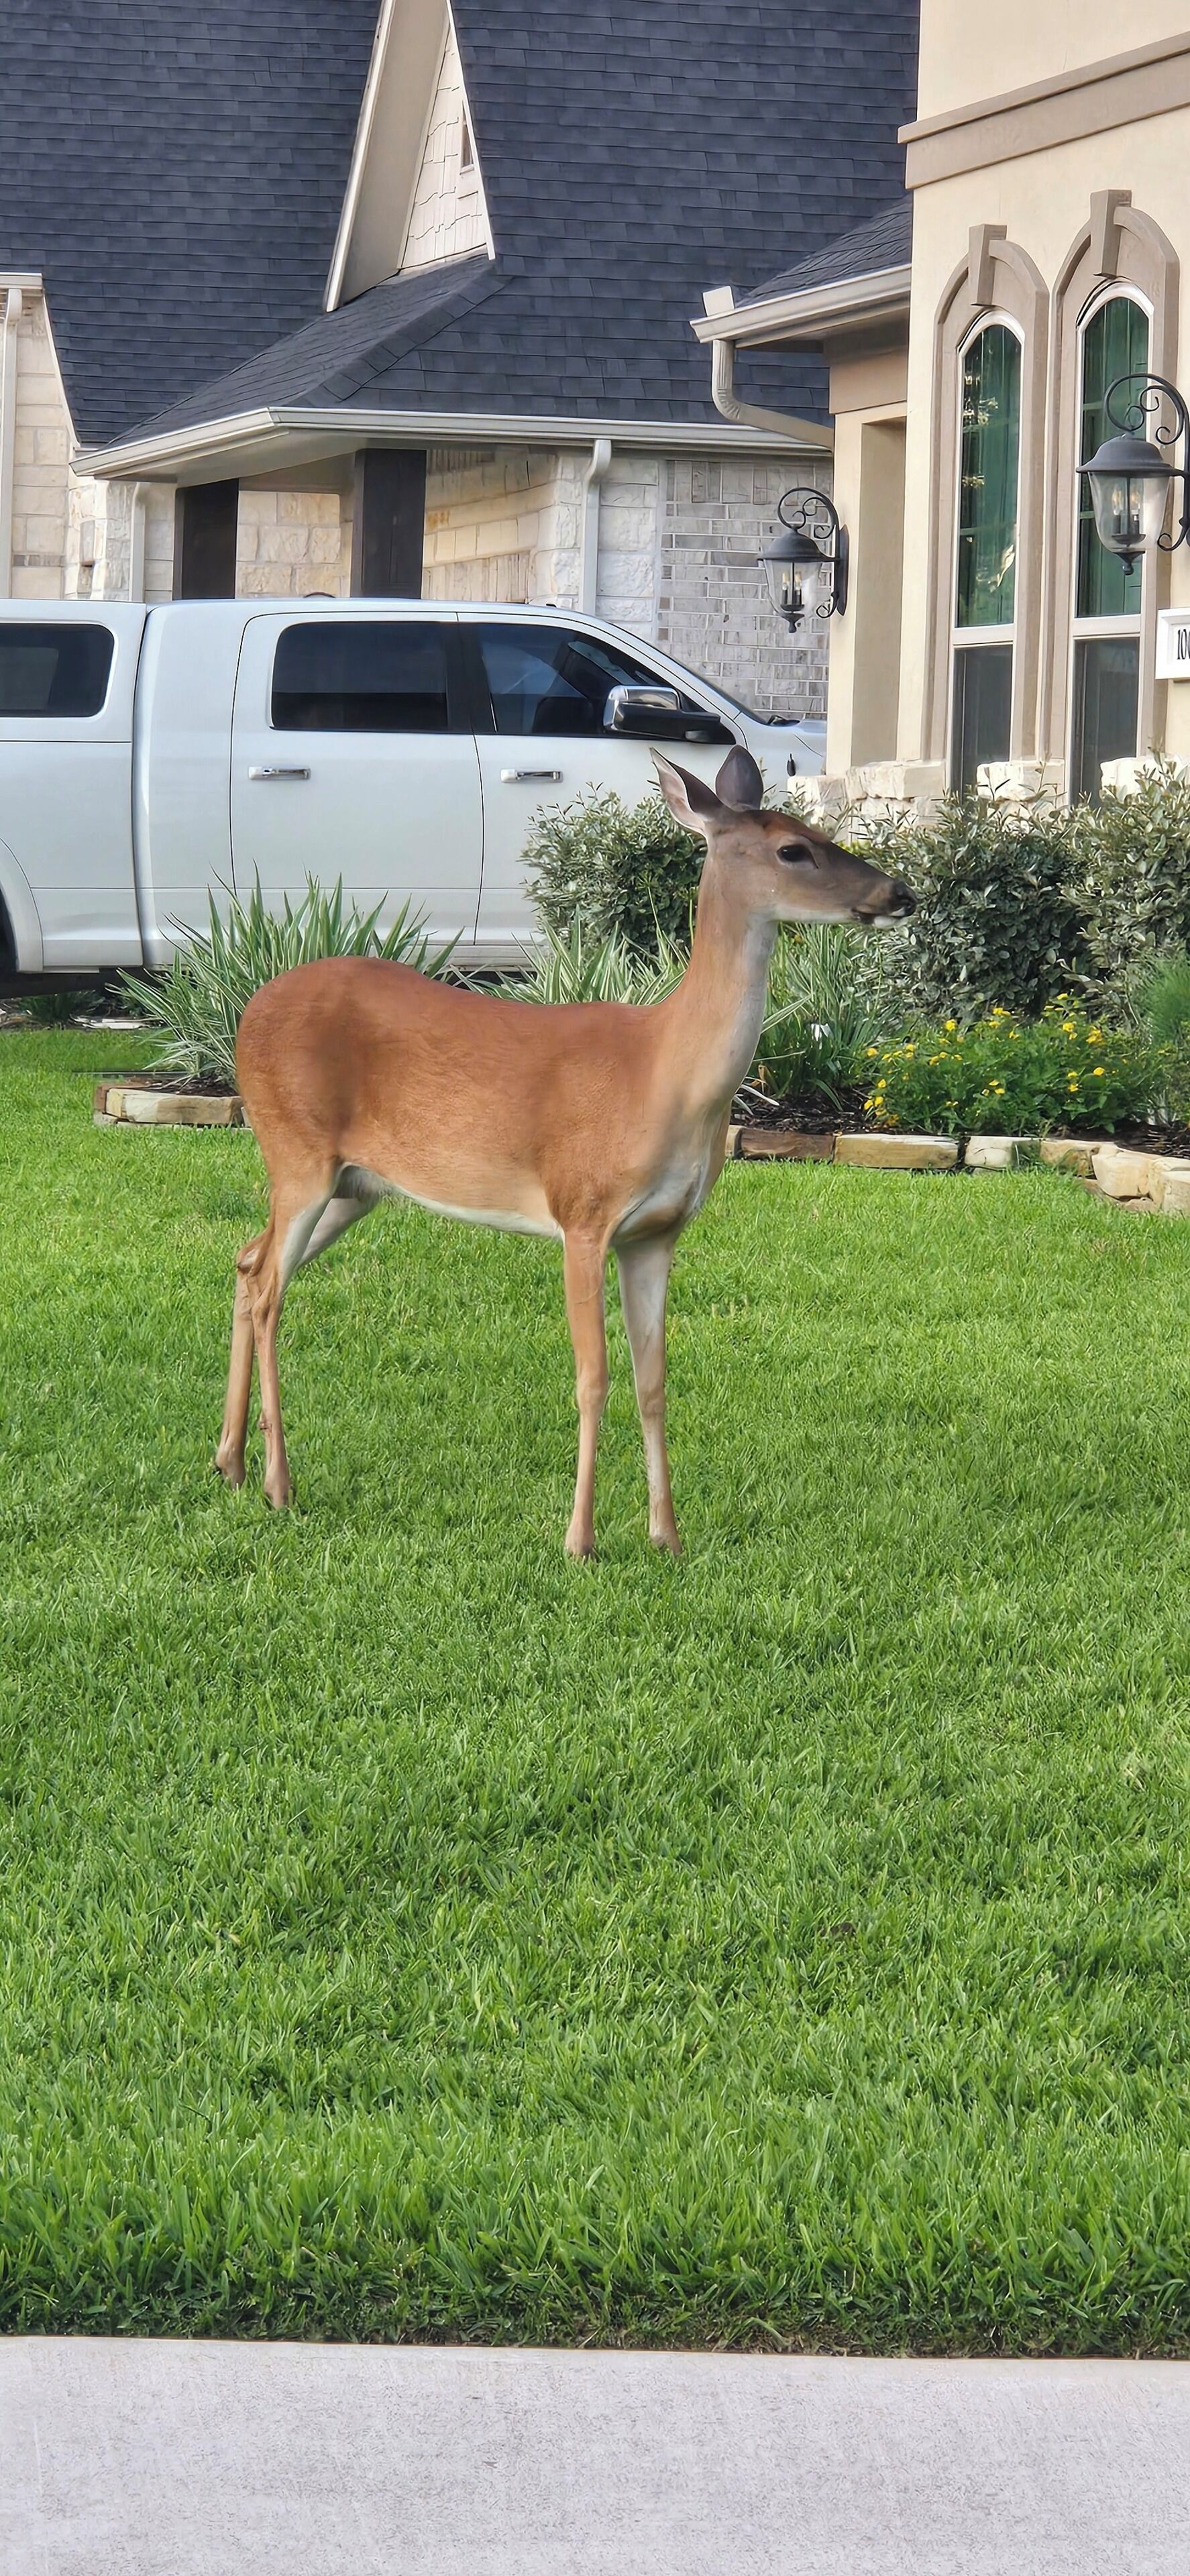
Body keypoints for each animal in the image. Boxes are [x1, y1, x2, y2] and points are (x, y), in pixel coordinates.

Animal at [215, 748, 914, 1556]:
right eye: (794, 850)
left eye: (819, 832)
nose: (901, 894)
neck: (666, 1076)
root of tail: (248, 1012)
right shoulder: (583, 1211)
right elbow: (593, 1376)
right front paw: (580, 1539)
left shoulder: (657, 1233)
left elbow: (653, 1380)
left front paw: (666, 1536)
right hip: (297, 1150)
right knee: (271, 1288)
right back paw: (278, 1483)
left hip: (353, 1184)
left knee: (248, 1261)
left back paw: (230, 1462)